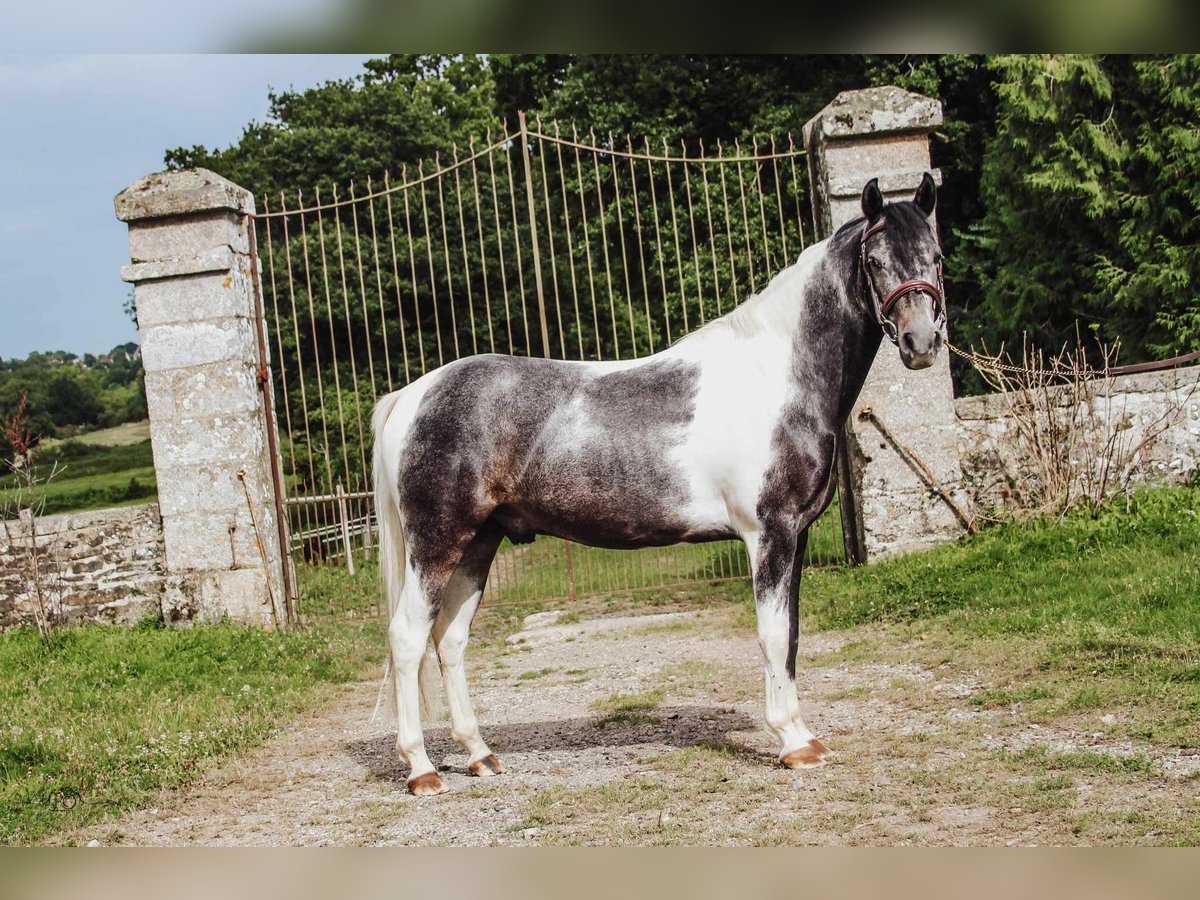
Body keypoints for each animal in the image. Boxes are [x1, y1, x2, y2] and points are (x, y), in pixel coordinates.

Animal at [372, 172, 945, 792]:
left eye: (936, 256)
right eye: (875, 260)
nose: (920, 343)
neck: (777, 378)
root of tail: (412, 394)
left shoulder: (797, 536)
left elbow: (790, 636)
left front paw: (803, 735)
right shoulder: (769, 534)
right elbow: (771, 635)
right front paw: (794, 742)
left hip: (479, 543)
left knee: (450, 640)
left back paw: (480, 754)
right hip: (435, 546)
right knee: (408, 639)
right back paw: (422, 770)